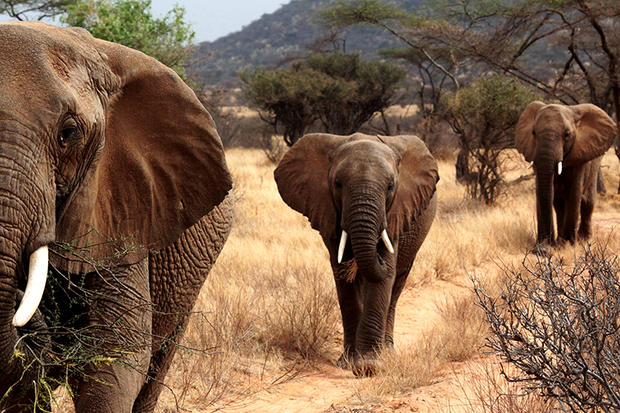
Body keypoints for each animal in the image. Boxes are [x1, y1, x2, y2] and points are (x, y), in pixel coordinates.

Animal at [274, 133, 438, 376]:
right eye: (337, 184)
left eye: (391, 186)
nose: (376, 258)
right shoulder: (329, 211)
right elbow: (343, 277)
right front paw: (350, 363)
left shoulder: (396, 212)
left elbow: (384, 276)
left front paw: (369, 366)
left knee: (396, 287)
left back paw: (388, 354)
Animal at [512, 101, 616, 246]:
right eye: (533, 133)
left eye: (567, 135)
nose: (544, 246)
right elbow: (545, 193)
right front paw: (550, 245)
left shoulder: (580, 156)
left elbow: (574, 194)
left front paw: (568, 244)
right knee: (559, 204)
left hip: (595, 165)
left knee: (587, 203)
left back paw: (583, 239)